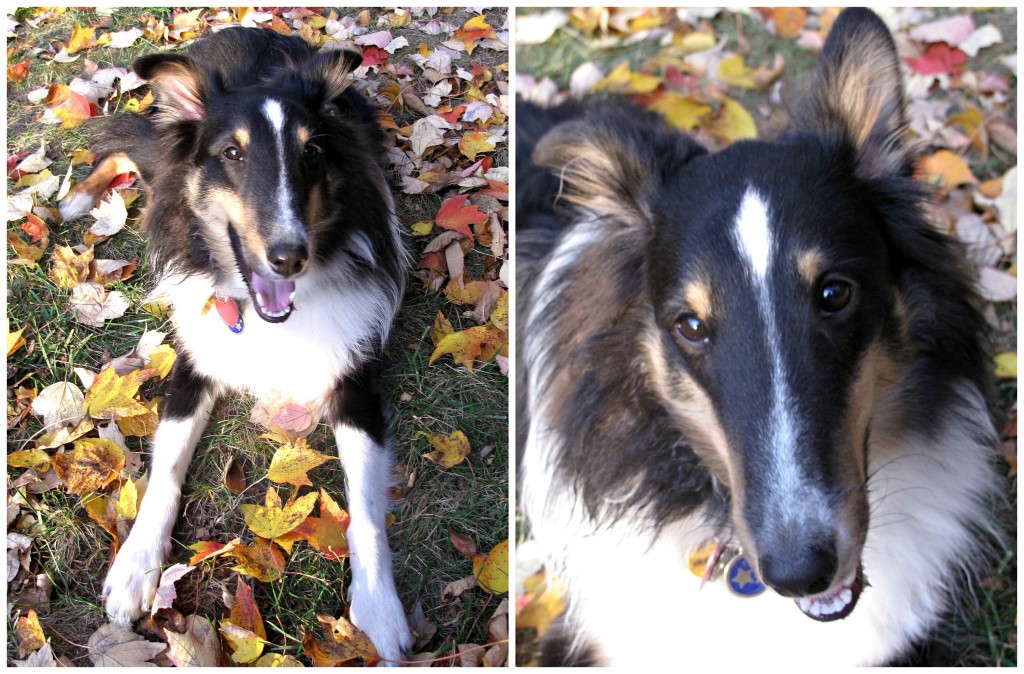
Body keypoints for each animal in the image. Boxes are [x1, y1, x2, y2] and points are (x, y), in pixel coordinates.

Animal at [58, 27, 411, 659]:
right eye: (232, 154)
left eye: (312, 154)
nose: (289, 256)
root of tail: (239, 27)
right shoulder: (193, 366)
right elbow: (166, 469)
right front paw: (135, 567)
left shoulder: (355, 379)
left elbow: (366, 507)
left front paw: (379, 607)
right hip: (162, 151)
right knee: (126, 143)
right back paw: (77, 197)